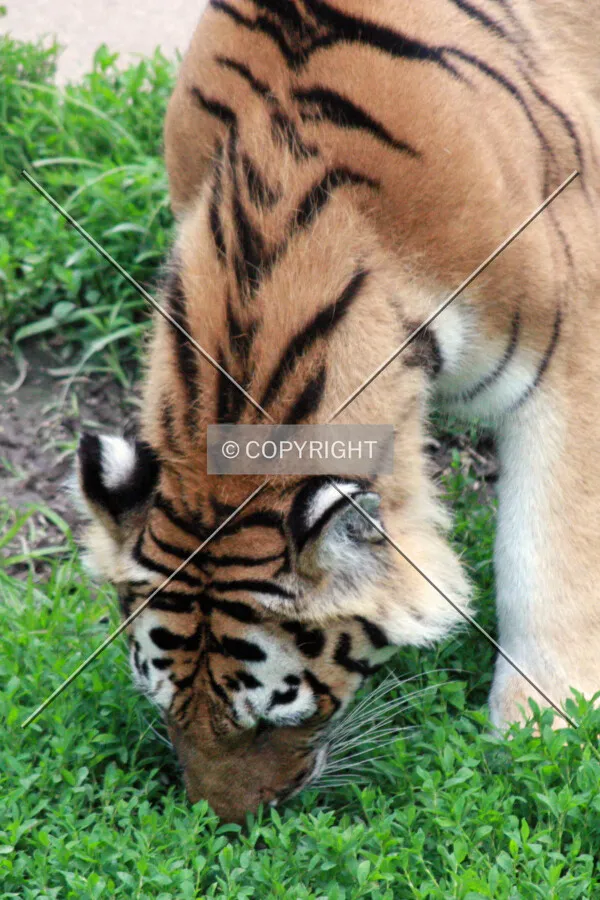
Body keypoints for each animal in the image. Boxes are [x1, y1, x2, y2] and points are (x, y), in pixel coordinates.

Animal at [74, 0, 600, 822]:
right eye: (162, 700)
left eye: (279, 709)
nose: (226, 824)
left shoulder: (570, 339)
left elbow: (549, 551)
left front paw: (542, 731)